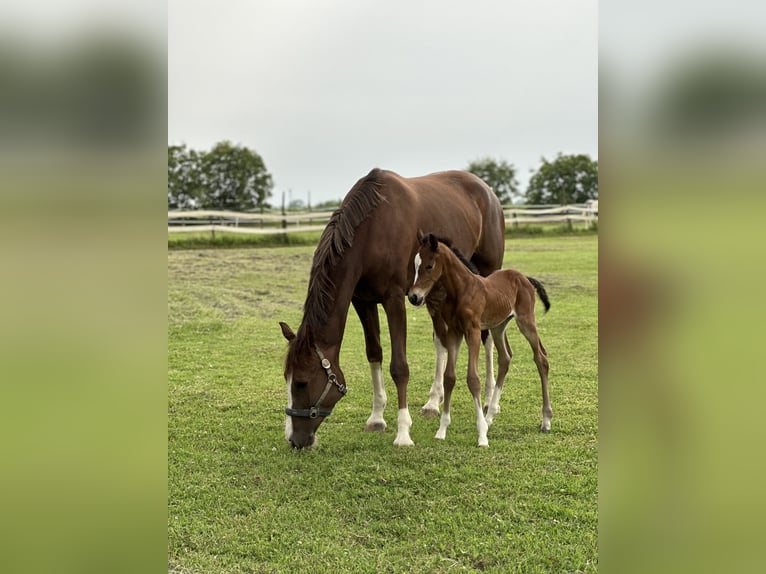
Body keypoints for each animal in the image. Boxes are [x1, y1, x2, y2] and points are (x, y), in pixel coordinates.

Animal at [280, 168, 508, 450]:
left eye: (301, 383)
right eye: (286, 379)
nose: (294, 440)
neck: (372, 229)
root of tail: (487, 190)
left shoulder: (395, 299)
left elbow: (399, 367)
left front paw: (403, 433)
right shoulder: (363, 301)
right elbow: (374, 353)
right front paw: (377, 417)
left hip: (486, 275)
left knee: (487, 338)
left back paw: (489, 401)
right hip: (435, 294)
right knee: (442, 340)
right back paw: (433, 402)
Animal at [408, 232, 552, 448]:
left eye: (429, 266)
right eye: (415, 264)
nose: (414, 297)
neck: (462, 290)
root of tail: (524, 277)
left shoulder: (473, 332)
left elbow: (473, 379)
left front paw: (482, 436)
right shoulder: (454, 333)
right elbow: (449, 377)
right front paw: (442, 430)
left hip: (526, 322)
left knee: (540, 358)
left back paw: (546, 420)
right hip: (498, 326)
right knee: (505, 358)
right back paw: (490, 416)